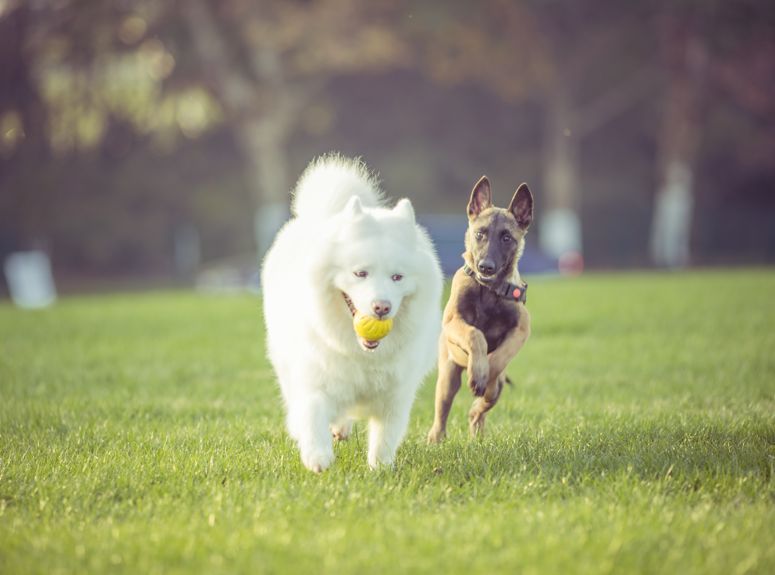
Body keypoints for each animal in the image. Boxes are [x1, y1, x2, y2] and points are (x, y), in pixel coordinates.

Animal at [262, 154, 440, 472]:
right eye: (360, 273)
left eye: (397, 277)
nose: (381, 307)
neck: (363, 354)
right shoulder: (315, 380)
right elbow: (312, 416)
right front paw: (317, 457)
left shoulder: (395, 397)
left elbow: (385, 437)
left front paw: (379, 469)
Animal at [424, 174, 532, 440]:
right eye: (480, 234)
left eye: (506, 237)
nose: (486, 266)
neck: (489, 291)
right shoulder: (454, 321)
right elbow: (476, 335)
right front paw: (479, 370)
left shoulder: (522, 329)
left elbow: (499, 358)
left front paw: (484, 374)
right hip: (448, 376)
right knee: (442, 410)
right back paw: (435, 438)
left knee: (483, 406)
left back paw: (476, 423)